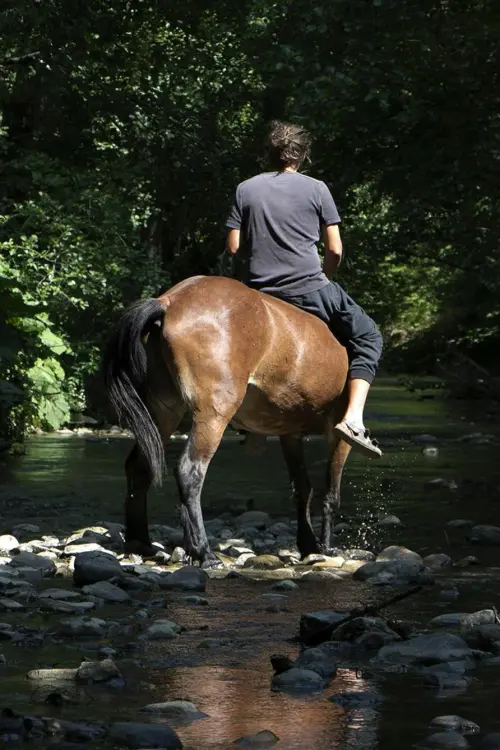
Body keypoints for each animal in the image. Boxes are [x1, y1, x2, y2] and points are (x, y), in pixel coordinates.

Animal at [102, 276, 352, 568]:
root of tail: (168, 302)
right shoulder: (338, 433)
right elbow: (331, 493)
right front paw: (325, 546)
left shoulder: (289, 433)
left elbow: (302, 487)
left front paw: (309, 545)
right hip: (213, 414)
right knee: (190, 471)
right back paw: (204, 552)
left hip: (164, 412)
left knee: (139, 467)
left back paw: (140, 542)